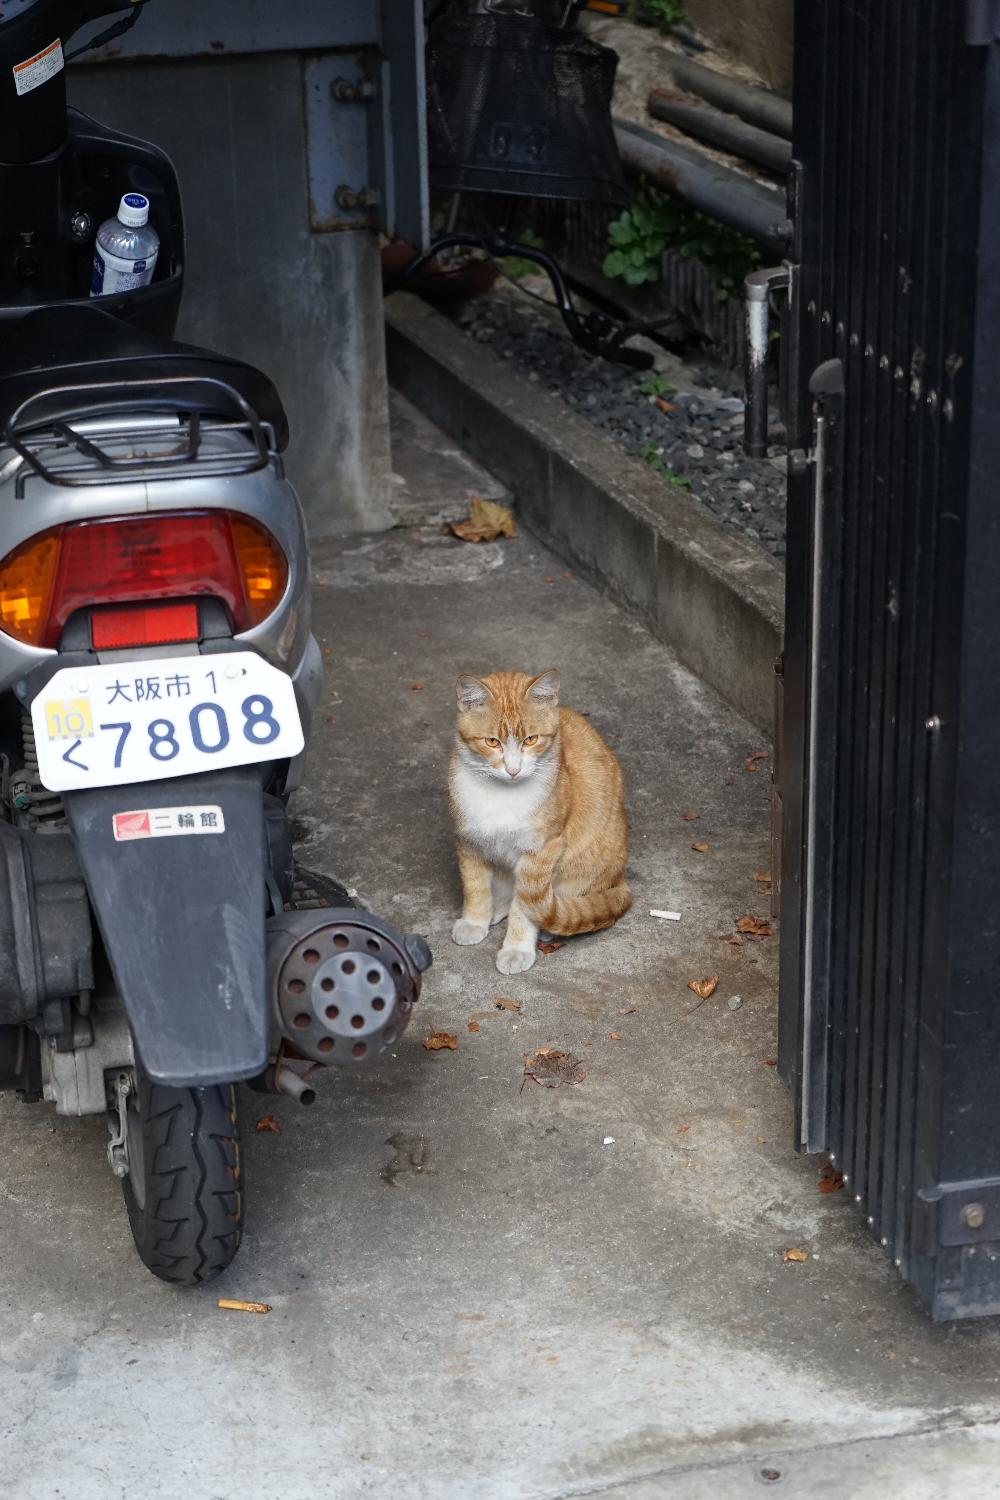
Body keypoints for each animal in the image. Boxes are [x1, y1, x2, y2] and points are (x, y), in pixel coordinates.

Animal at [449, 666, 629, 972]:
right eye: (492, 742)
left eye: (531, 740)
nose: (513, 769)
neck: (502, 795)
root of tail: (620, 878)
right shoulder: (469, 841)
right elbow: (475, 887)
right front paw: (475, 920)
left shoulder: (540, 853)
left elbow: (524, 908)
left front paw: (517, 949)